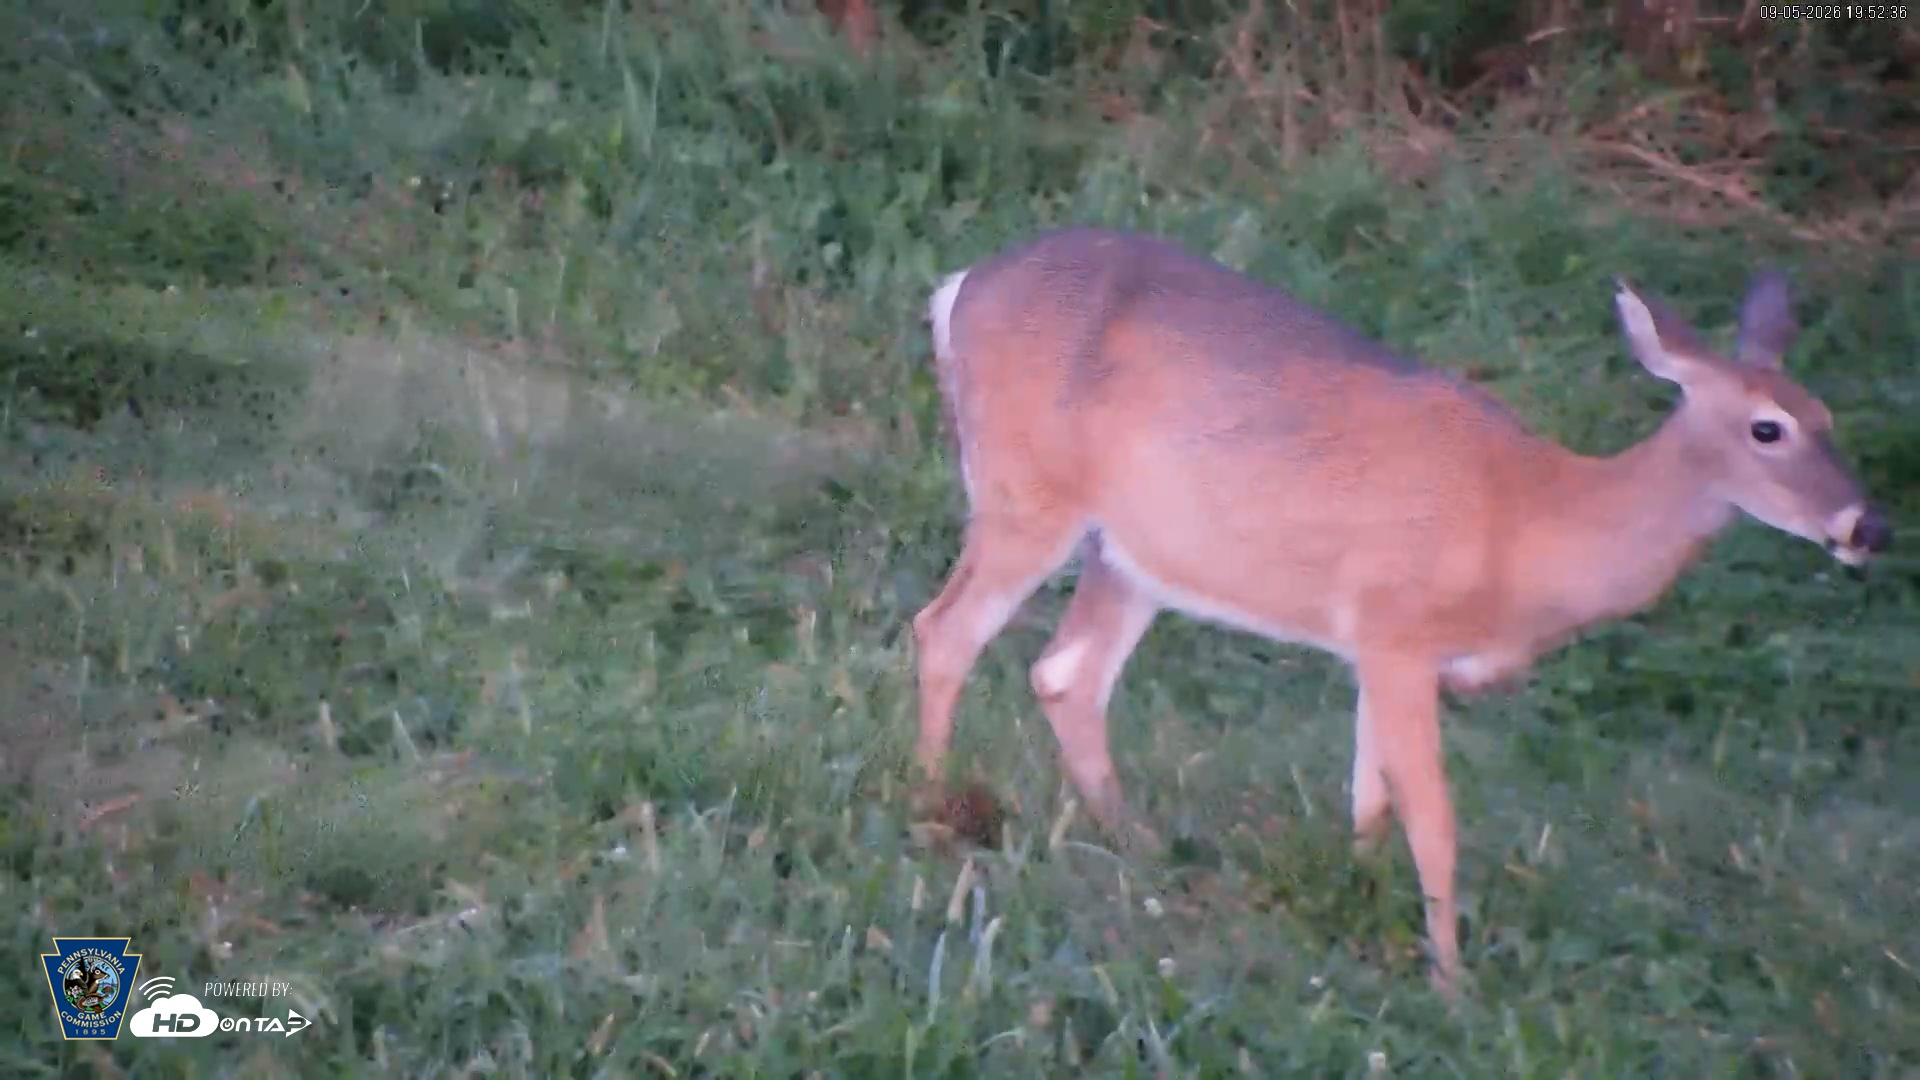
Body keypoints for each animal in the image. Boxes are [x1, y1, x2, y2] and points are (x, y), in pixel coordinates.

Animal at [908, 227, 1892, 991]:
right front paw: (1452, 980)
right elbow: (1435, 817)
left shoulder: (1372, 650)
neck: (1530, 525)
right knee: (946, 629)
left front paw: (1360, 901)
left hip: (1133, 552)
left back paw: (1139, 842)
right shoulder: (1398, 631)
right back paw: (930, 805)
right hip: (1027, 492)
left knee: (1064, 672)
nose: (1868, 525)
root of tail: (960, 288)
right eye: (1767, 428)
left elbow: (1369, 799)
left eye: (1829, 417)